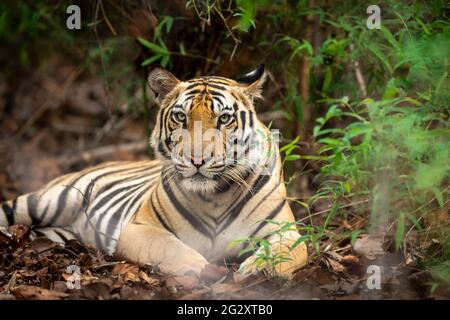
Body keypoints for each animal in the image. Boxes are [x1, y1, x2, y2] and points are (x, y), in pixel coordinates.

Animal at [0, 64, 308, 278]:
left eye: (224, 119)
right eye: (181, 117)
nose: (197, 159)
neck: (215, 196)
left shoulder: (284, 230)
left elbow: (291, 250)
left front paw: (260, 268)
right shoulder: (139, 228)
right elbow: (170, 248)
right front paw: (202, 269)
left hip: (56, 232)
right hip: (45, 200)